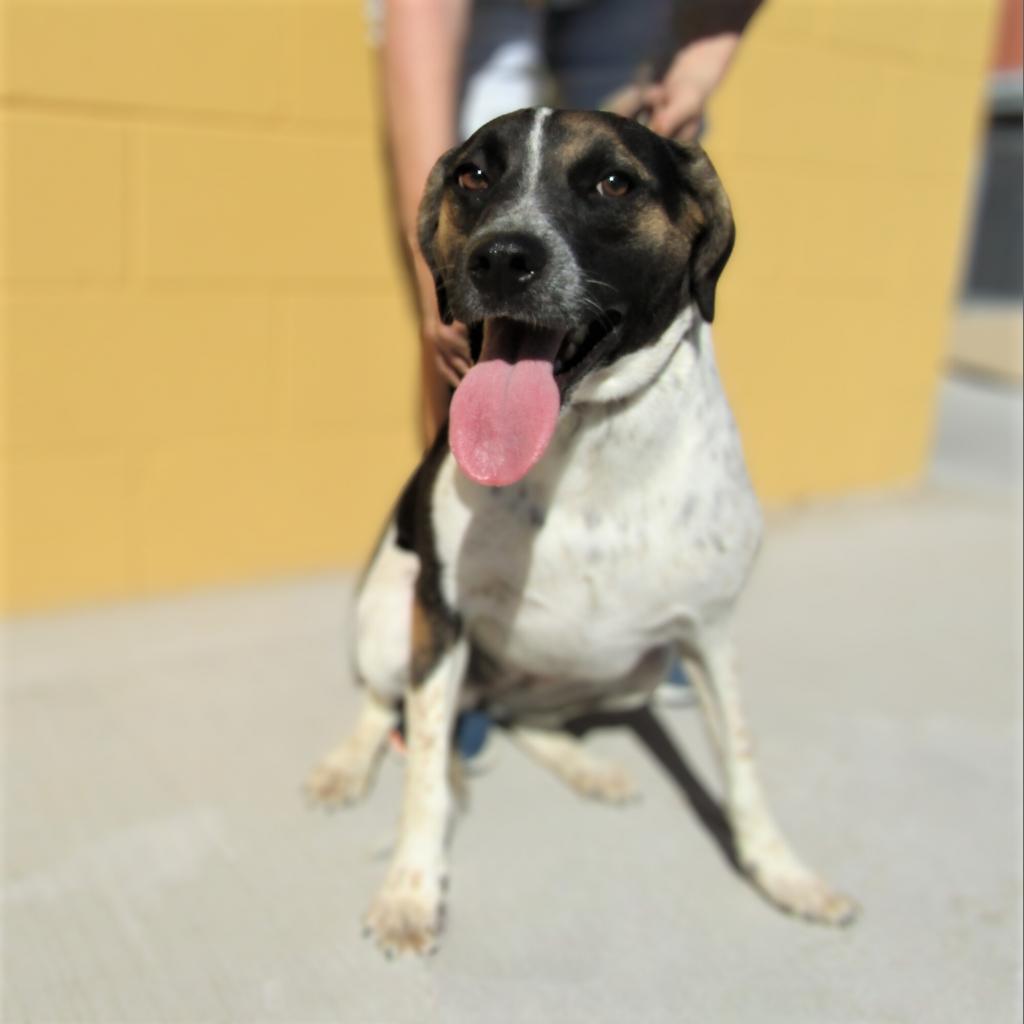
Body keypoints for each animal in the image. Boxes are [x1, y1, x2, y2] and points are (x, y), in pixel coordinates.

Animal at [305, 108, 856, 954]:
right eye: (473, 175)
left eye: (613, 182)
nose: (501, 256)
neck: (585, 437)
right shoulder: (442, 617)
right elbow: (425, 776)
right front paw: (410, 892)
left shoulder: (709, 630)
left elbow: (741, 761)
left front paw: (783, 873)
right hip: (395, 612)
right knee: (385, 706)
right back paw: (345, 766)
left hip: (637, 666)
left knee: (524, 717)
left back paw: (587, 766)